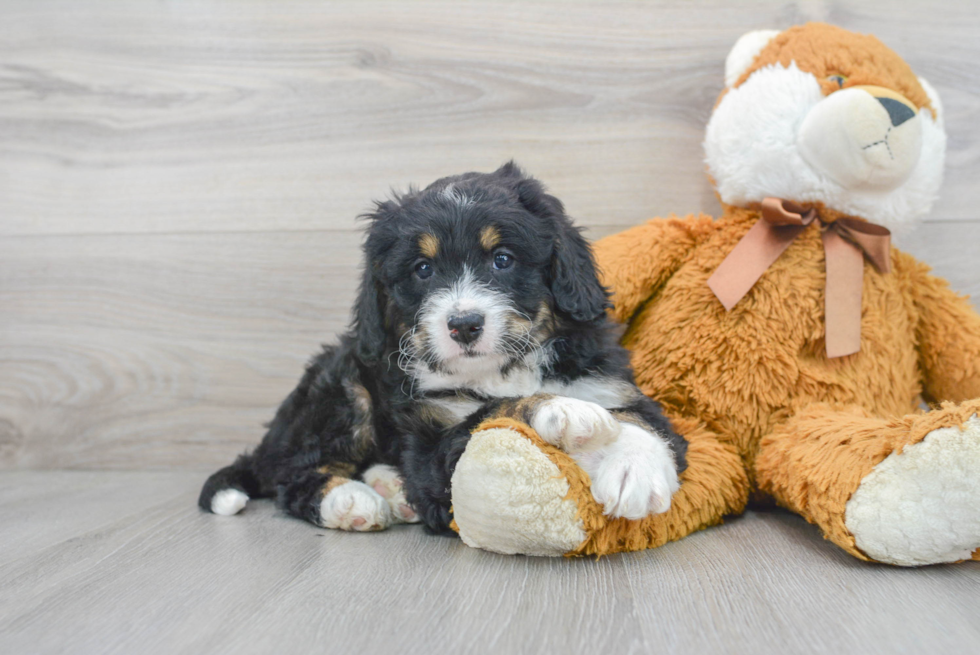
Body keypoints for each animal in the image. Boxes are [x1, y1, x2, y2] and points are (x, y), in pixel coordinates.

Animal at [200, 161, 684, 536]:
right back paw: (353, 501)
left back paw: (390, 486)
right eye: (423, 269)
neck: (502, 370)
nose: (464, 325)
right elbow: (493, 411)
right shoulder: (433, 446)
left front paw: (634, 470)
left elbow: (643, 421)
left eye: (502, 259)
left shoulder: (609, 384)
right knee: (293, 474)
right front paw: (563, 411)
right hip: (343, 387)